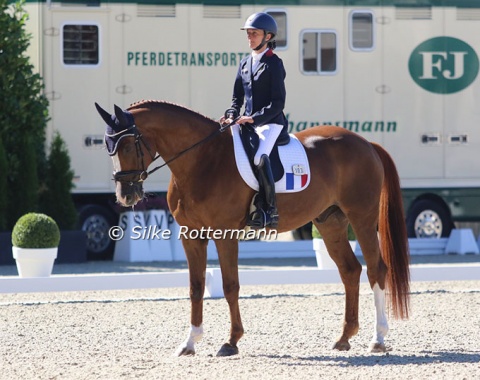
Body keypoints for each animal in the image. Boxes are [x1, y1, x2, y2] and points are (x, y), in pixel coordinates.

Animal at [95, 100, 410, 356]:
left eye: (127, 145)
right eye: (107, 148)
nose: (126, 196)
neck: (201, 159)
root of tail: (367, 143)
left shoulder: (225, 234)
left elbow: (230, 285)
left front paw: (231, 341)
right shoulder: (191, 235)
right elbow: (196, 287)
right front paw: (190, 342)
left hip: (362, 217)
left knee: (376, 269)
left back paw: (378, 339)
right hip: (330, 222)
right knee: (350, 271)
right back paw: (344, 338)